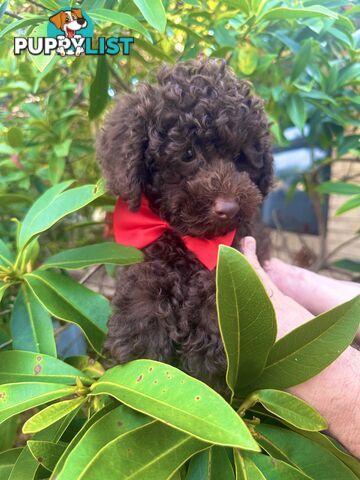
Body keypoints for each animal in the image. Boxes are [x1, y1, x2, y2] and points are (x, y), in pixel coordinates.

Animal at [97, 60, 272, 392]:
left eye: (240, 157)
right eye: (188, 154)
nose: (229, 208)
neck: (189, 241)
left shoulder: (233, 261)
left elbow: (214, 300)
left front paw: (207, 366)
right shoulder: (147, 259)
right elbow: (142, 297)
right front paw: (141, 358)